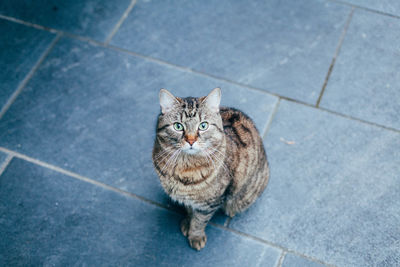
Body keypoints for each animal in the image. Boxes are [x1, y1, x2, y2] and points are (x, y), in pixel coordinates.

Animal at [152, 88, 270, 251]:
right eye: (178, 126)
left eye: (203, 125)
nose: (191, 140)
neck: (185, 167)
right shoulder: (190, 199)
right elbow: (190, 211)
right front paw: (187, 222)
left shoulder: (209, 203)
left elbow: (199, 221)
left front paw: (195, 236)